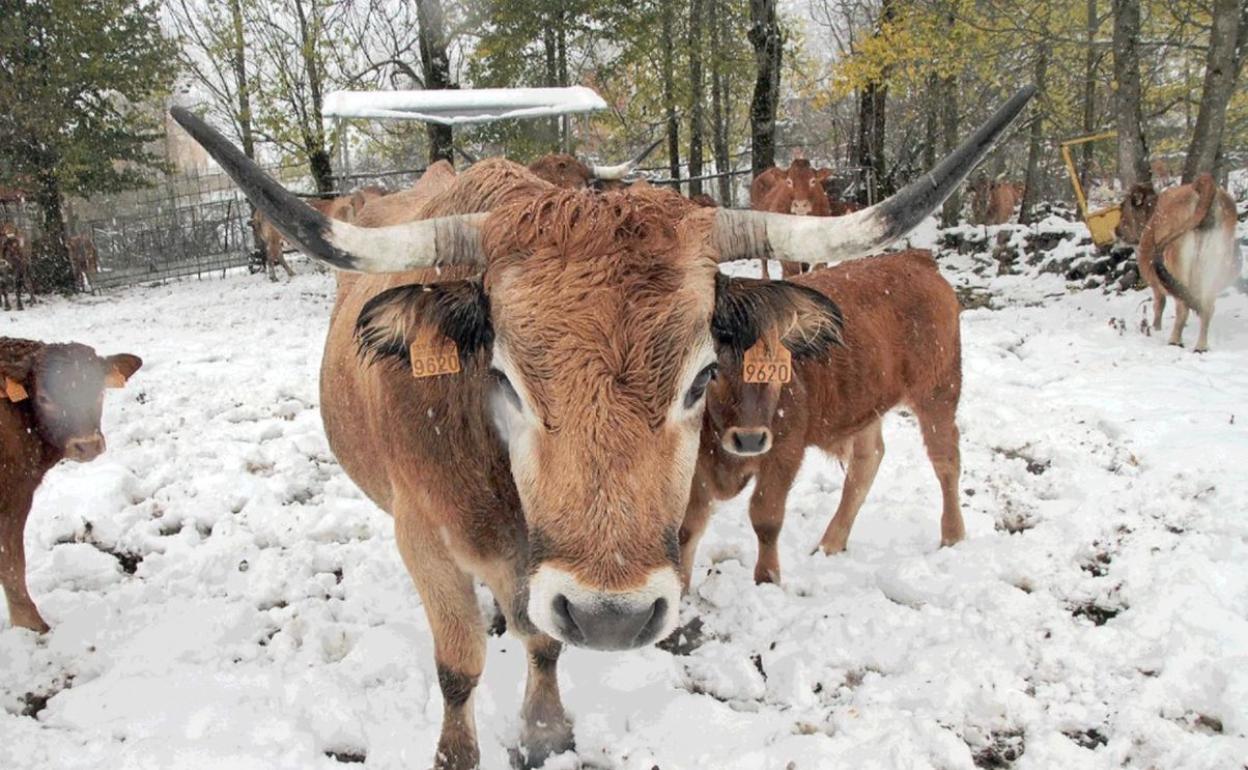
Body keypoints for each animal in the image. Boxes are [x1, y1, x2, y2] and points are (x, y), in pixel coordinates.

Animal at [683, 249, 963, 586]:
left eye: (779, 365)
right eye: (713, 369)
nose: (749, 439)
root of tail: (916, 259)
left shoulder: (785, 451)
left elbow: (765, 516)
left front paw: (767, 579)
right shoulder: (695, 461)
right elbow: (689, 526)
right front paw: (681, 588)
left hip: (937, 394)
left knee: (946, 461)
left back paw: (952, 535)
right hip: (867, 405)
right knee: (867, 462)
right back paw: (831, 543)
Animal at [1118, 172, 1243, 349]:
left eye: (1123, 208)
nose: (1117, 230)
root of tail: (1200, 184)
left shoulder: (1156, 286)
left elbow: (1159, 305)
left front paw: (1156, 328)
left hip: (1178, 262)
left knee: (1183, 307)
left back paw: (1175, 341)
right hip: (1215, 260)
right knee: (1207, 306)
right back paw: (1200, 346)